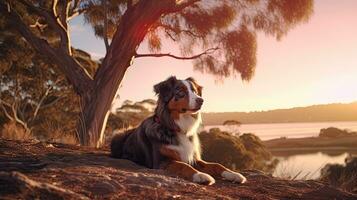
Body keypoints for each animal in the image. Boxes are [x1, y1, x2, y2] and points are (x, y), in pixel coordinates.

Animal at [110, 76, 246, 185]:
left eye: (194, 91)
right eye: (181, 92)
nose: (201, 100)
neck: (175, 128)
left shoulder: (193, 158)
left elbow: (216, 165)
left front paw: (234, 174)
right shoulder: (162, 162)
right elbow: (183, 165)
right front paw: (200, 175)